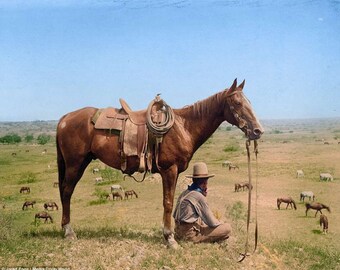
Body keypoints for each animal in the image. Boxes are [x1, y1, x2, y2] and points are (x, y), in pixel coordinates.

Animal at [56, 78, 262, 247]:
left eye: (250, 102)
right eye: (237, 103)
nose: (258, 131)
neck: (183, 127)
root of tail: (64, 118)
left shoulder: (175, 172)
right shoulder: (169, 170)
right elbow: (168, 202)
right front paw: (170, 238)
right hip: (75, 164)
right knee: (66, 192)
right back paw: (68, 231)